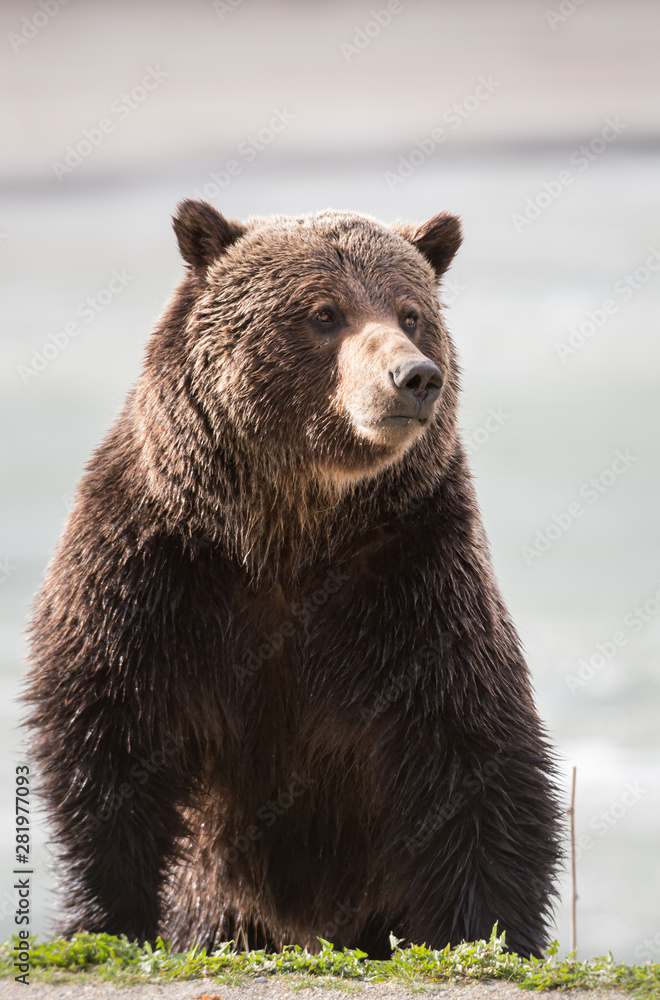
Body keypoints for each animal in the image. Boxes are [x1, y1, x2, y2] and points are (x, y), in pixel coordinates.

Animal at [25, 200, 561, 960]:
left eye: (411, 313)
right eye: (324, 312)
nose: (414, 376)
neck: (288, 537)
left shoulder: (411, 576)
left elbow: (471, 743)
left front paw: (489, 930)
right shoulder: (155, 565)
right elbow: (107, 724)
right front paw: (106, 918)